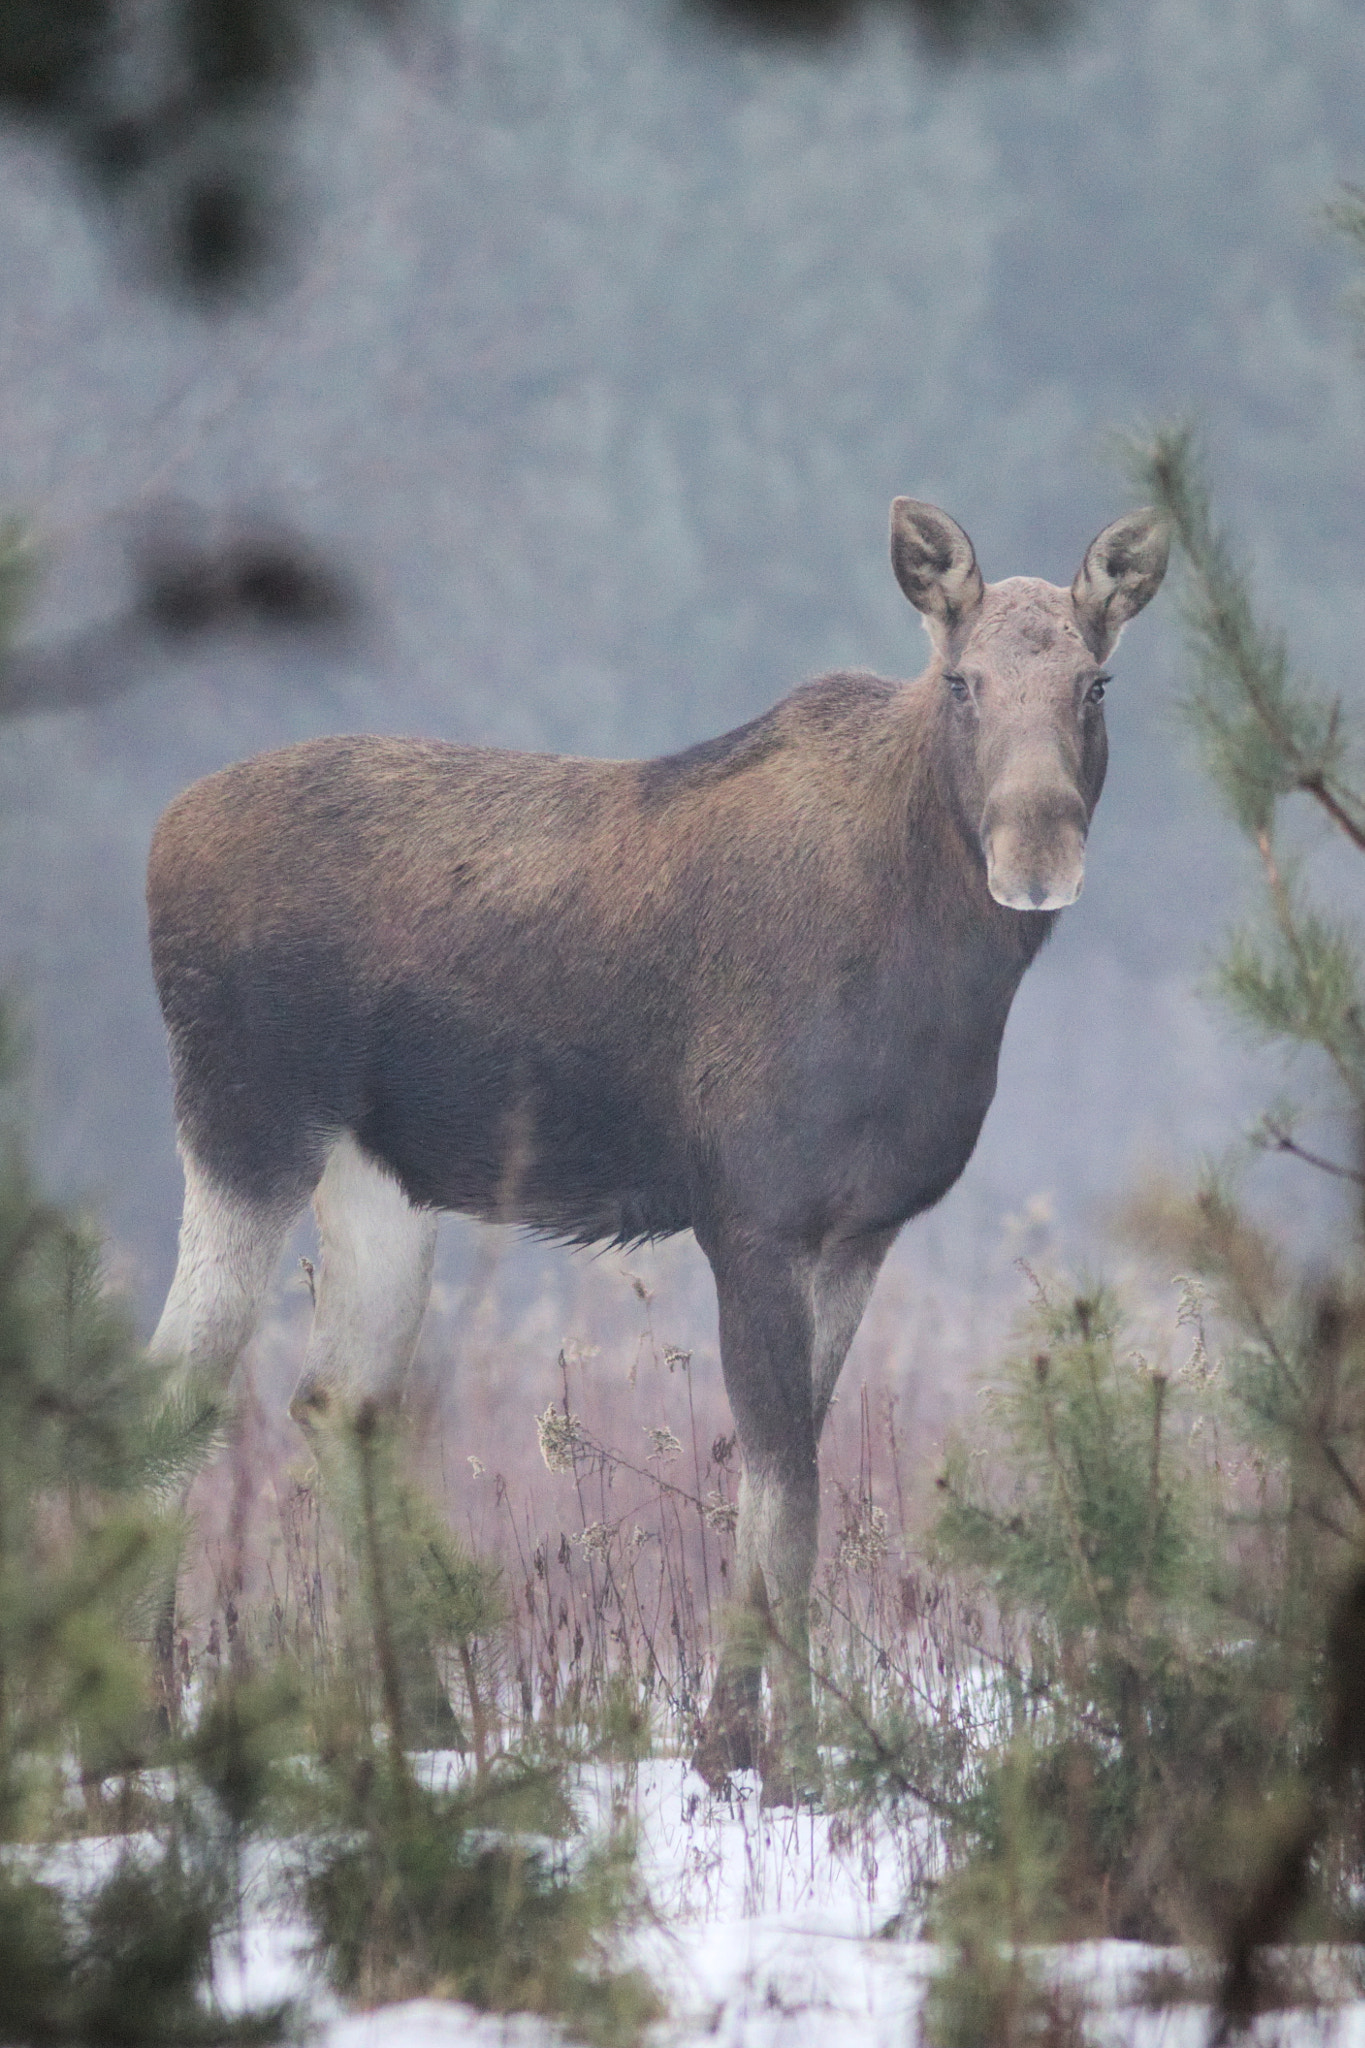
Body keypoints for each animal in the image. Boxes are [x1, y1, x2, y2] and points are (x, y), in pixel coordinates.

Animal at [149, 495, 1178, 1794]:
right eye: (963, 680)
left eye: (1097, 680)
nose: (1037, 858)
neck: (939, 976)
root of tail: (158, 844)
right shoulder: (752, 1215)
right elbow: (791, 1495)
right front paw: (798, 1750)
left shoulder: (859, 1231)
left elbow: (774, 1485)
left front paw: (730, 1733)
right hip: (243, 1125)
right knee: (174, 1385)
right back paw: (140, 1713)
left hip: (380, 1180)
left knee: (334, 1399)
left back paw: (415, 1713)